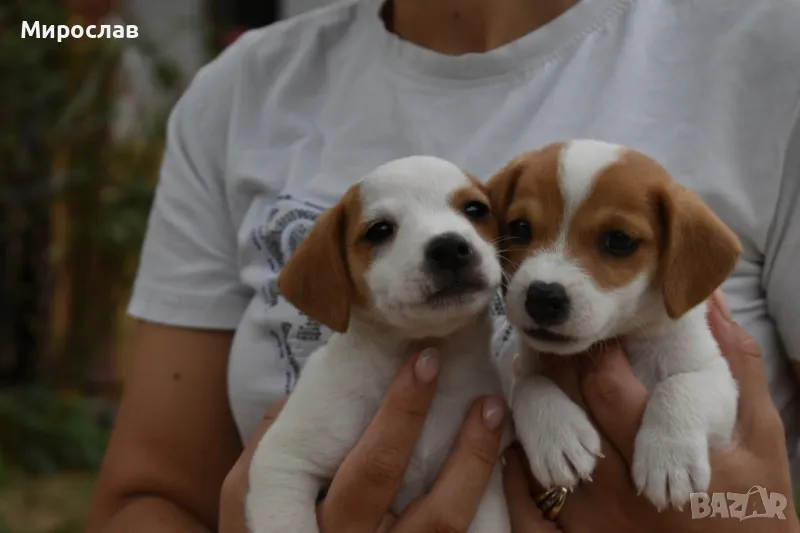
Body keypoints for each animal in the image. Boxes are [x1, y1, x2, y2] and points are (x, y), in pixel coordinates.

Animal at [245, 155, 512, 532]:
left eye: (475, 209)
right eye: (380, 230)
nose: (449, 247)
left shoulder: (484, 487)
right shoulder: (284, 463)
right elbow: (289, 522)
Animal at [488, 140, 744, 512]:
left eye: (619, 241)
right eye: (520, 228)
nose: (542, 296)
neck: (623, 337)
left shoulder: (718, 379)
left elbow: (680, 386)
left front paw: (670, 458)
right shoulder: (527, 365)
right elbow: (527, 384)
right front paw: (557, 435)